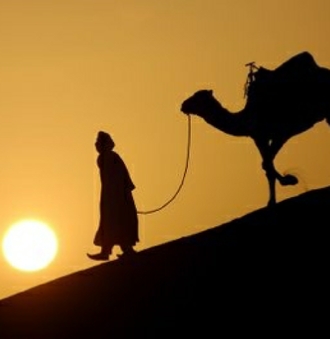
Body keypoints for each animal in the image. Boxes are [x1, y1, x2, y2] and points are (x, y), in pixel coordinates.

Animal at [180, 51, 330, 206]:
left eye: (198, 97)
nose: (183, 105)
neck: (246, 117)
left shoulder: (280, 132)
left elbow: (267, 164)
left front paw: (290, 180)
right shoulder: (258, 137)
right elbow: (266, 165)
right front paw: (272, 199)